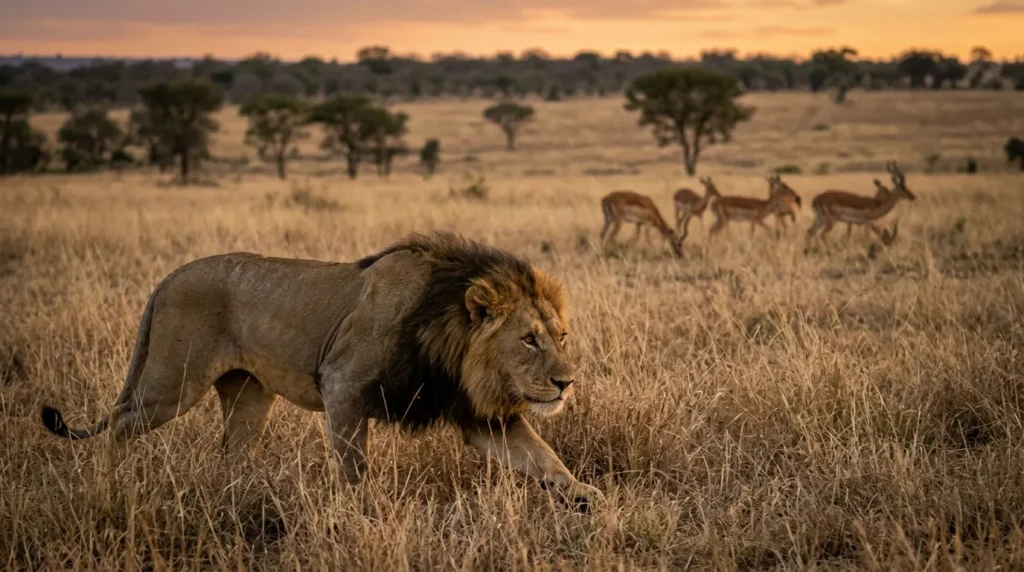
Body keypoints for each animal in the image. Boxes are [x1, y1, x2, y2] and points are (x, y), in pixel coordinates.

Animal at [40, 231, 604, 508]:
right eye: (528, 339)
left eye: (561, 336)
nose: (566, 383)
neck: (448, 339)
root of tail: (168, 277)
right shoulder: (343, 386)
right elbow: (354, 467)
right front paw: (362, 513)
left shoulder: (479, 414)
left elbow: (544, 456)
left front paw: (586, 497)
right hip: (172, 385)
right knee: (122, 422)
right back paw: (110, 480)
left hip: (249, 394)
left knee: (230, 453)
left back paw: (242, 497)